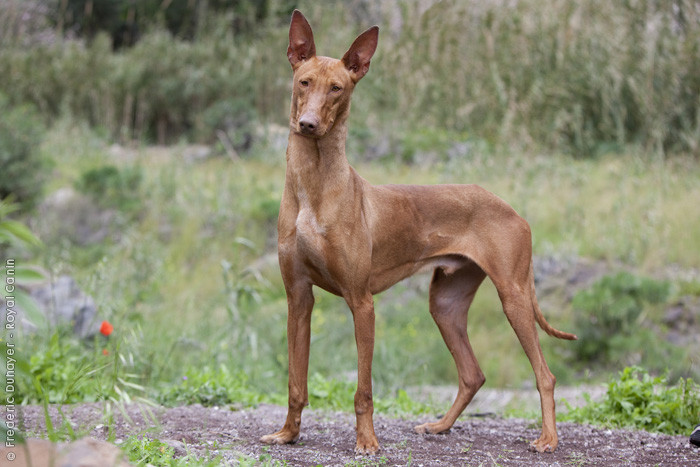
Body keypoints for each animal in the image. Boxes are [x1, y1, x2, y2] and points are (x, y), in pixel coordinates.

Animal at [260, 11, 576, 456]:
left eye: (337, 88)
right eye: (304, 82)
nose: (308, 125)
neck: (315, 187)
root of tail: (513, 210)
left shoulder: (362, 302)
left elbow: (363, 390)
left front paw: (367, 442)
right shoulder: (298, 297)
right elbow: (295, 381)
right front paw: (288, 434)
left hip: (513, 296)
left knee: (544, 374)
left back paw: (547, 438)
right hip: (445, 304)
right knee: (473, 374)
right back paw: (441, 426)